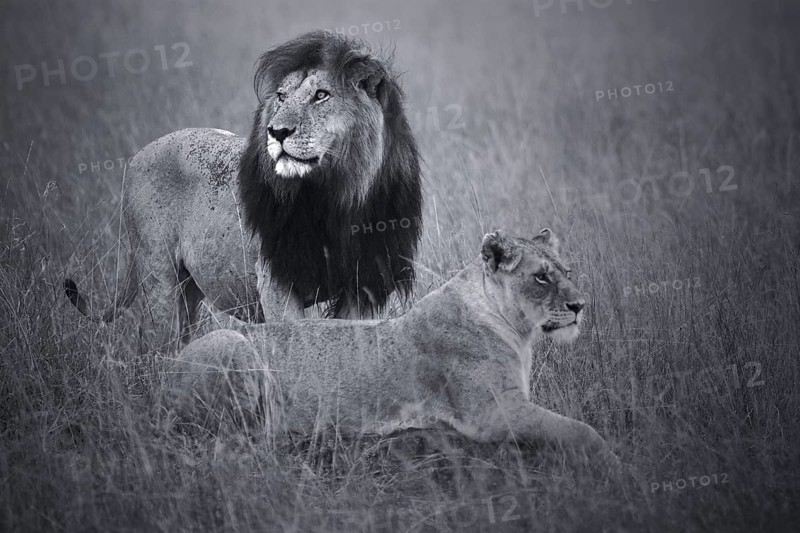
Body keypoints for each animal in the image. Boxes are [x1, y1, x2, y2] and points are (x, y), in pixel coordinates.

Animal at [64, 31, 422, 346]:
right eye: (281, 96)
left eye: (321, 95)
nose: (276, 131)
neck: (338, 196)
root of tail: (138, 155)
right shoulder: (277, 283)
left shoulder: (363, 287)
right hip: (158, 275)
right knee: (154, 346)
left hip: (189, 287)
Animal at [167, 229, 619, 469]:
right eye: (541, 277)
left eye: (566, 272)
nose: (580, 306)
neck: (519, 331)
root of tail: (161, 376)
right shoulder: (492, 412)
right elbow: (581, 430)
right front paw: (615, 463)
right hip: (233, 345)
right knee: (237, 444)